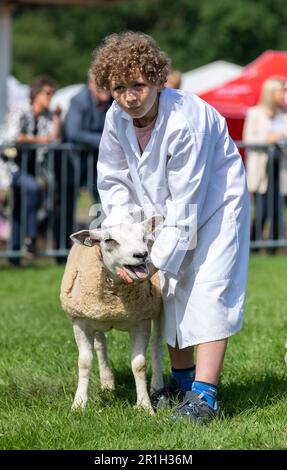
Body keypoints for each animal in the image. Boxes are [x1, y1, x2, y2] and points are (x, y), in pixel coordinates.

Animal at [60, 217, 164, 412]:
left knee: (157, 344)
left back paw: (157, 386)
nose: (142, 254)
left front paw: (144, 405)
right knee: (101, 345)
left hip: (159, 308)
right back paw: (107, 383)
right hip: (96, 315)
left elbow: (139, 365)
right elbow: (84, 363)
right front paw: (79, 404)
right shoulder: (80, 320)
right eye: (109, 240)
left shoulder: (141, 320)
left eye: (143, 237)